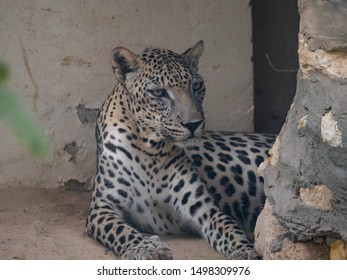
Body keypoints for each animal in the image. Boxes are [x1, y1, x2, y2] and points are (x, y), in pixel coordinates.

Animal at [85, 40, 276, 260]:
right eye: (158, 93)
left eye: (196, 86)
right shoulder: (102, 208)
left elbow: (228, 228)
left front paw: (245, 252)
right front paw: (147, 249)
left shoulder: (204, 208)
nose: (193, 124)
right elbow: (121, 230)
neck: (150, 152)